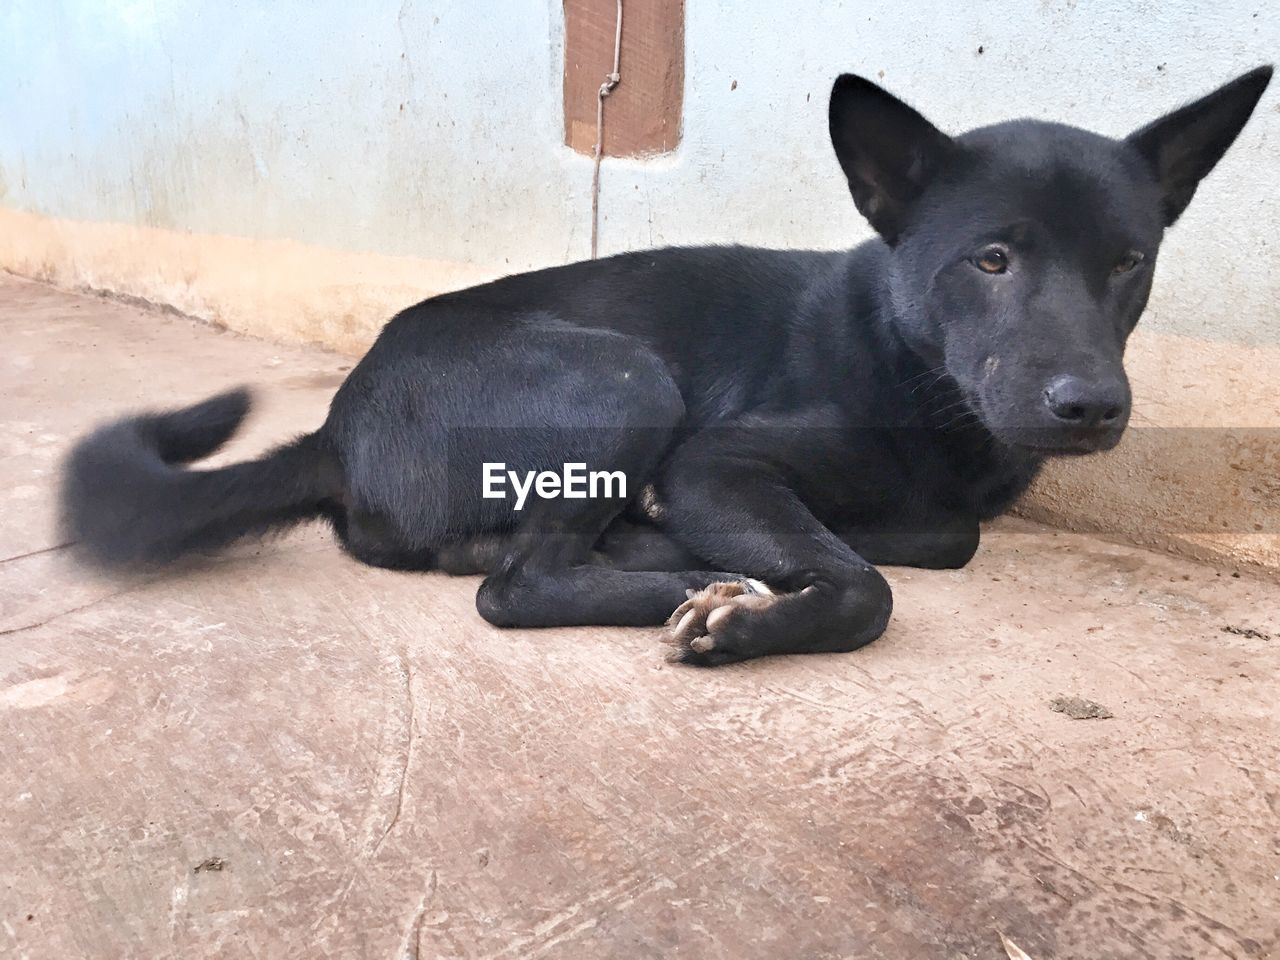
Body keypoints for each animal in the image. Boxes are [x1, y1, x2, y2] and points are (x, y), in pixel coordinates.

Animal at [64, 67, 1274, 665]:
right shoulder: (718, 462)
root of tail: (339, 417)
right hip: (621, 376)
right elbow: (868, 583)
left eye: (1128, 262)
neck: (909, 363)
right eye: (991, 258)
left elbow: (943, 534)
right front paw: (769, 610)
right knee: (516, 586)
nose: (1091, 407)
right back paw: (687, 576)